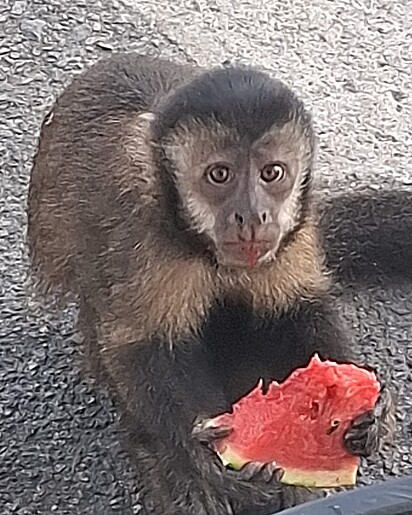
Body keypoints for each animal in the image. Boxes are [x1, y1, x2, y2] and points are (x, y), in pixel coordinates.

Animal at [27, 53, 394, 515]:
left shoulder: (295, 228)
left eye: (272, 173)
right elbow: (139, 344)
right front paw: (198, 450)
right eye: (220, 175)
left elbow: (298, 308)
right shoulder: (136, 226)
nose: (252, 215)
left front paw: (369, 411)